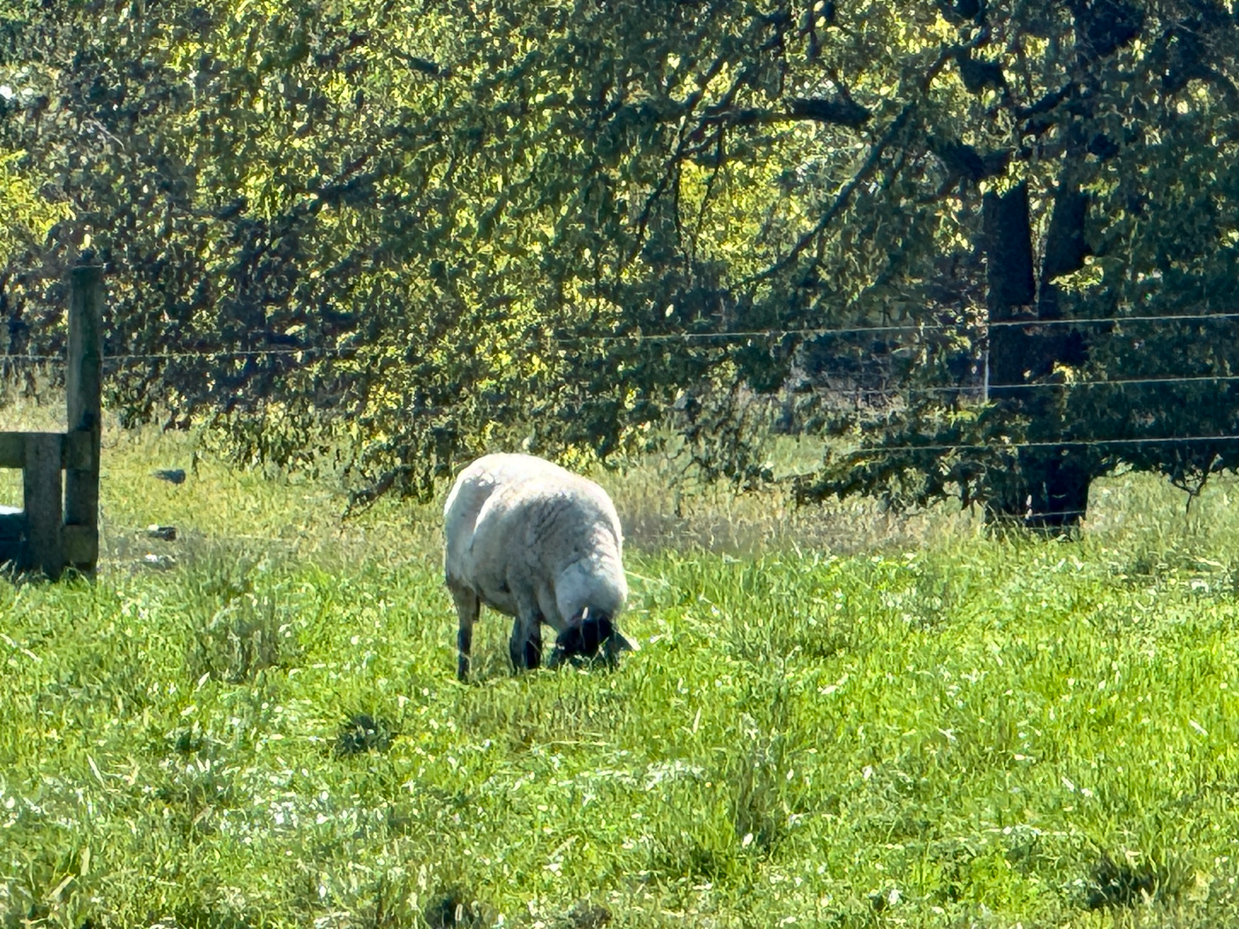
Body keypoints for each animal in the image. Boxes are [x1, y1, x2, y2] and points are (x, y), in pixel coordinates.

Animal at [443, 453, 639, 678]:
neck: (587, 550)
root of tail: (479, 462)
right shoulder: (526, 593)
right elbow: (532, 647)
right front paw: (534, 677)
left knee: (513, 643)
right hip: (459, 583)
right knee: (464, 637)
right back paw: (463, 677)